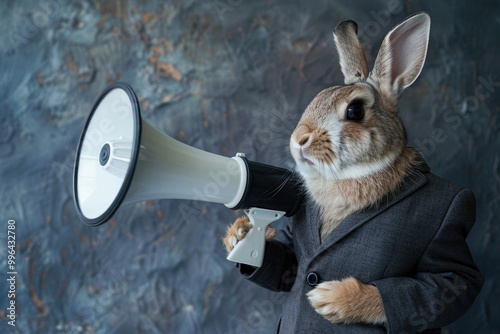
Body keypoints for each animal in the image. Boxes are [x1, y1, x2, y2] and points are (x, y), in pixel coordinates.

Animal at [224, 12, 484, 332]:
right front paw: (238, 233)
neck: (349, 175)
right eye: (318, 97)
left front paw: (331, 299)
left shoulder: (451, 272)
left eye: (355, 111)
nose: (298, 140)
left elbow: (453, 283)